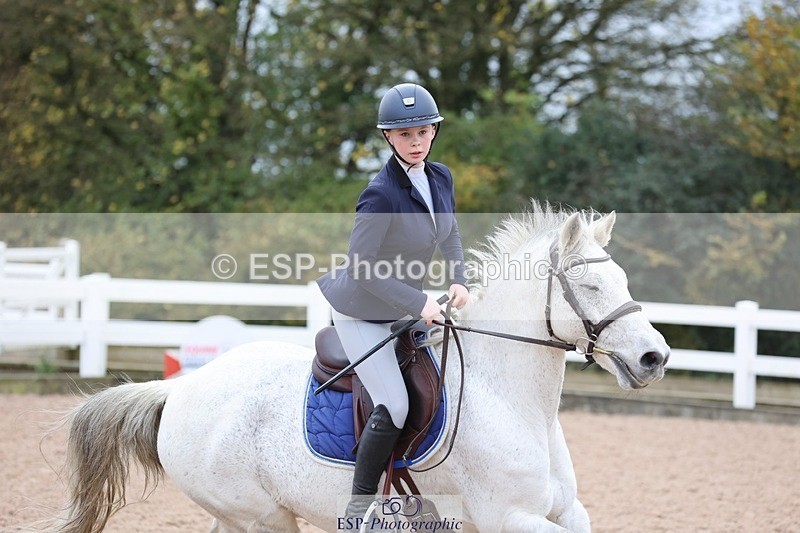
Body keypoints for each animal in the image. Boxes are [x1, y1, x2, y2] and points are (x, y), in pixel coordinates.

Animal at [51, 203, 669, 533]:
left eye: (623, 281)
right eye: (590, 286)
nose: (654, 357)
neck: (512, 400)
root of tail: (182, 390)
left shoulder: (566, 512)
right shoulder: (507, 517)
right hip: (262, 517)